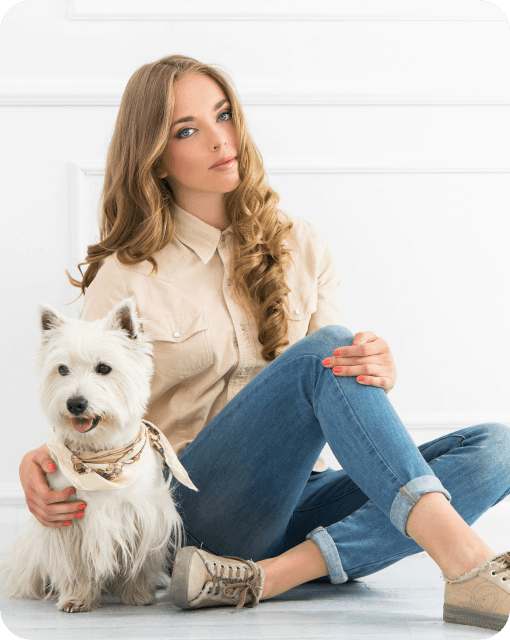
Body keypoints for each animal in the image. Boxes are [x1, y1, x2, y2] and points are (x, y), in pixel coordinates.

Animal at [0, 297, 198, 612]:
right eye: (62, 369)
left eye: (104, 368)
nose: (75, 403)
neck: (102, 458)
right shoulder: (67, 520)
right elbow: (76, 566)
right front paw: (76, 598)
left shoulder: (145, 514)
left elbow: (140, 562)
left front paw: (138, 595)